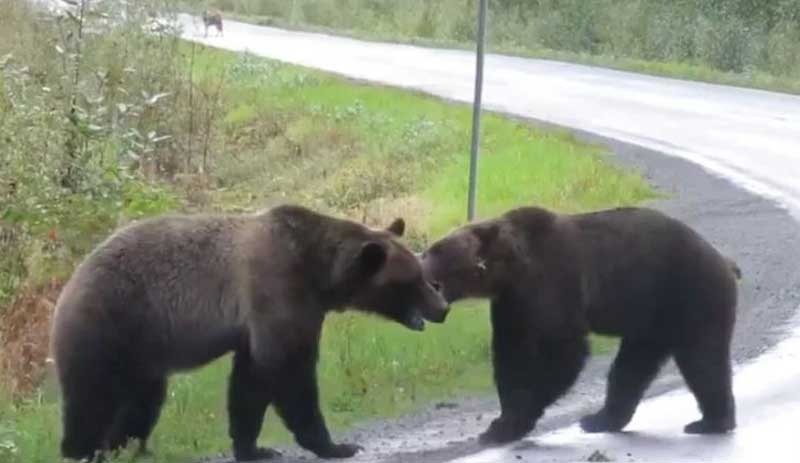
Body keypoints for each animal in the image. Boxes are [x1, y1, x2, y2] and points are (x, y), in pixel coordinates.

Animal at [50, 205, 450, 462]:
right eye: (412, 280)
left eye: (420, 268)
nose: (442, 306)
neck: (317, 273)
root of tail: (68, 285)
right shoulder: (277, 290)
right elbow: (289, 370)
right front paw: (336, 445)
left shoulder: (258, 322)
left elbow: (250, 381)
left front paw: (254, 448)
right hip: (110, 322)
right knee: (92, 393)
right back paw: (82, 449)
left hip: (143, 351)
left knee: (141, 399)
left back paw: (131, 447)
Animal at [418, 207, 736, 446]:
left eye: (436, 249)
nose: (418, 260)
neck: (512, 268)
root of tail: (724, 261)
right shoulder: (513, 304)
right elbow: (512, 355)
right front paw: (501, 423)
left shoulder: (553, 282)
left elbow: (564, 351)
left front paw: (513, 421)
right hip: (652, 322)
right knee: (632, 367)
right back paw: (602, 418)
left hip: (690, 295)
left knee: (703, 359)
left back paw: (711, 421)